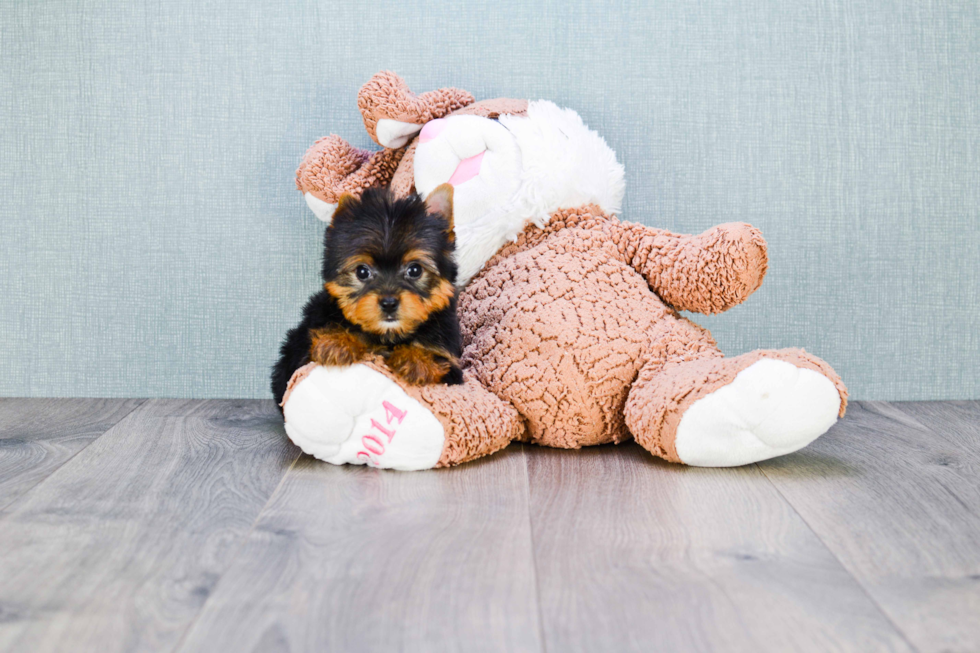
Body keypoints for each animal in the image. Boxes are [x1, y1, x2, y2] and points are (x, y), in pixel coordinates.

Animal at [272, 185, 464, 408]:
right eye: (362, 272)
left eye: (415, 270)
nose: (388, 303)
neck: (387, 335)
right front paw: (337, 341)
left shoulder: (451, 362)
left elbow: (438, 360)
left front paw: (417, 359)